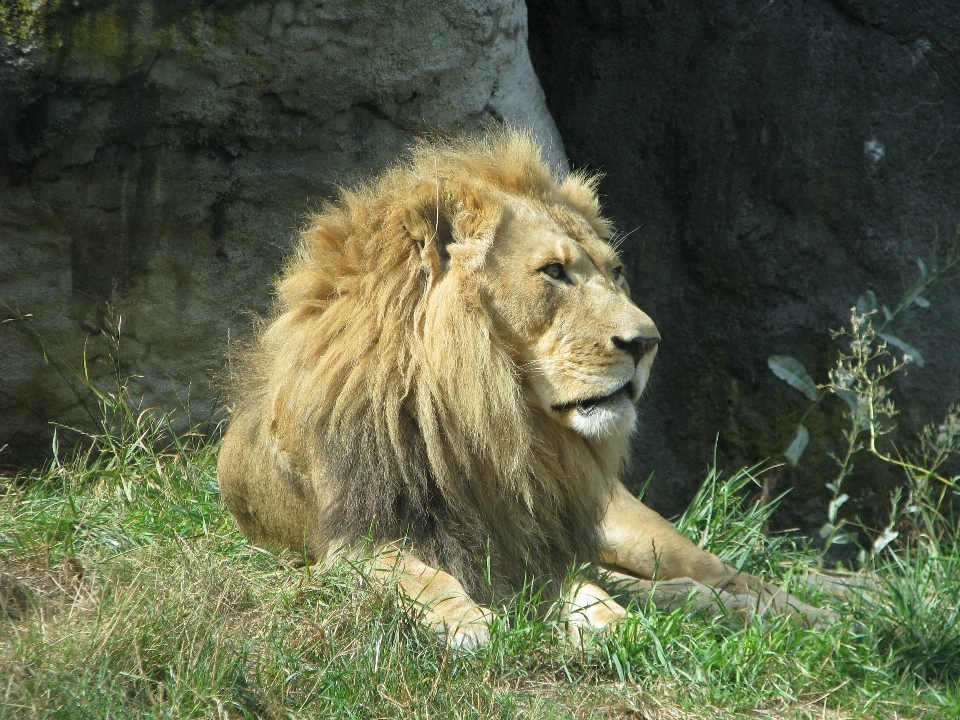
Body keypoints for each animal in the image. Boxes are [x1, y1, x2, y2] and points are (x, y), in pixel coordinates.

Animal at [219, 131, 832, 652]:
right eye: (554, 272)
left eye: (615, 272)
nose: (649, 342)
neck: (485, 428)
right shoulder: (351, 542)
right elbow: (414, 575)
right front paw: (465, 621)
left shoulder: (538, 548)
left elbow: (586, 588)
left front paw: (613, 625)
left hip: (635, 530)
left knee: (726, 573)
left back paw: (810, 614)